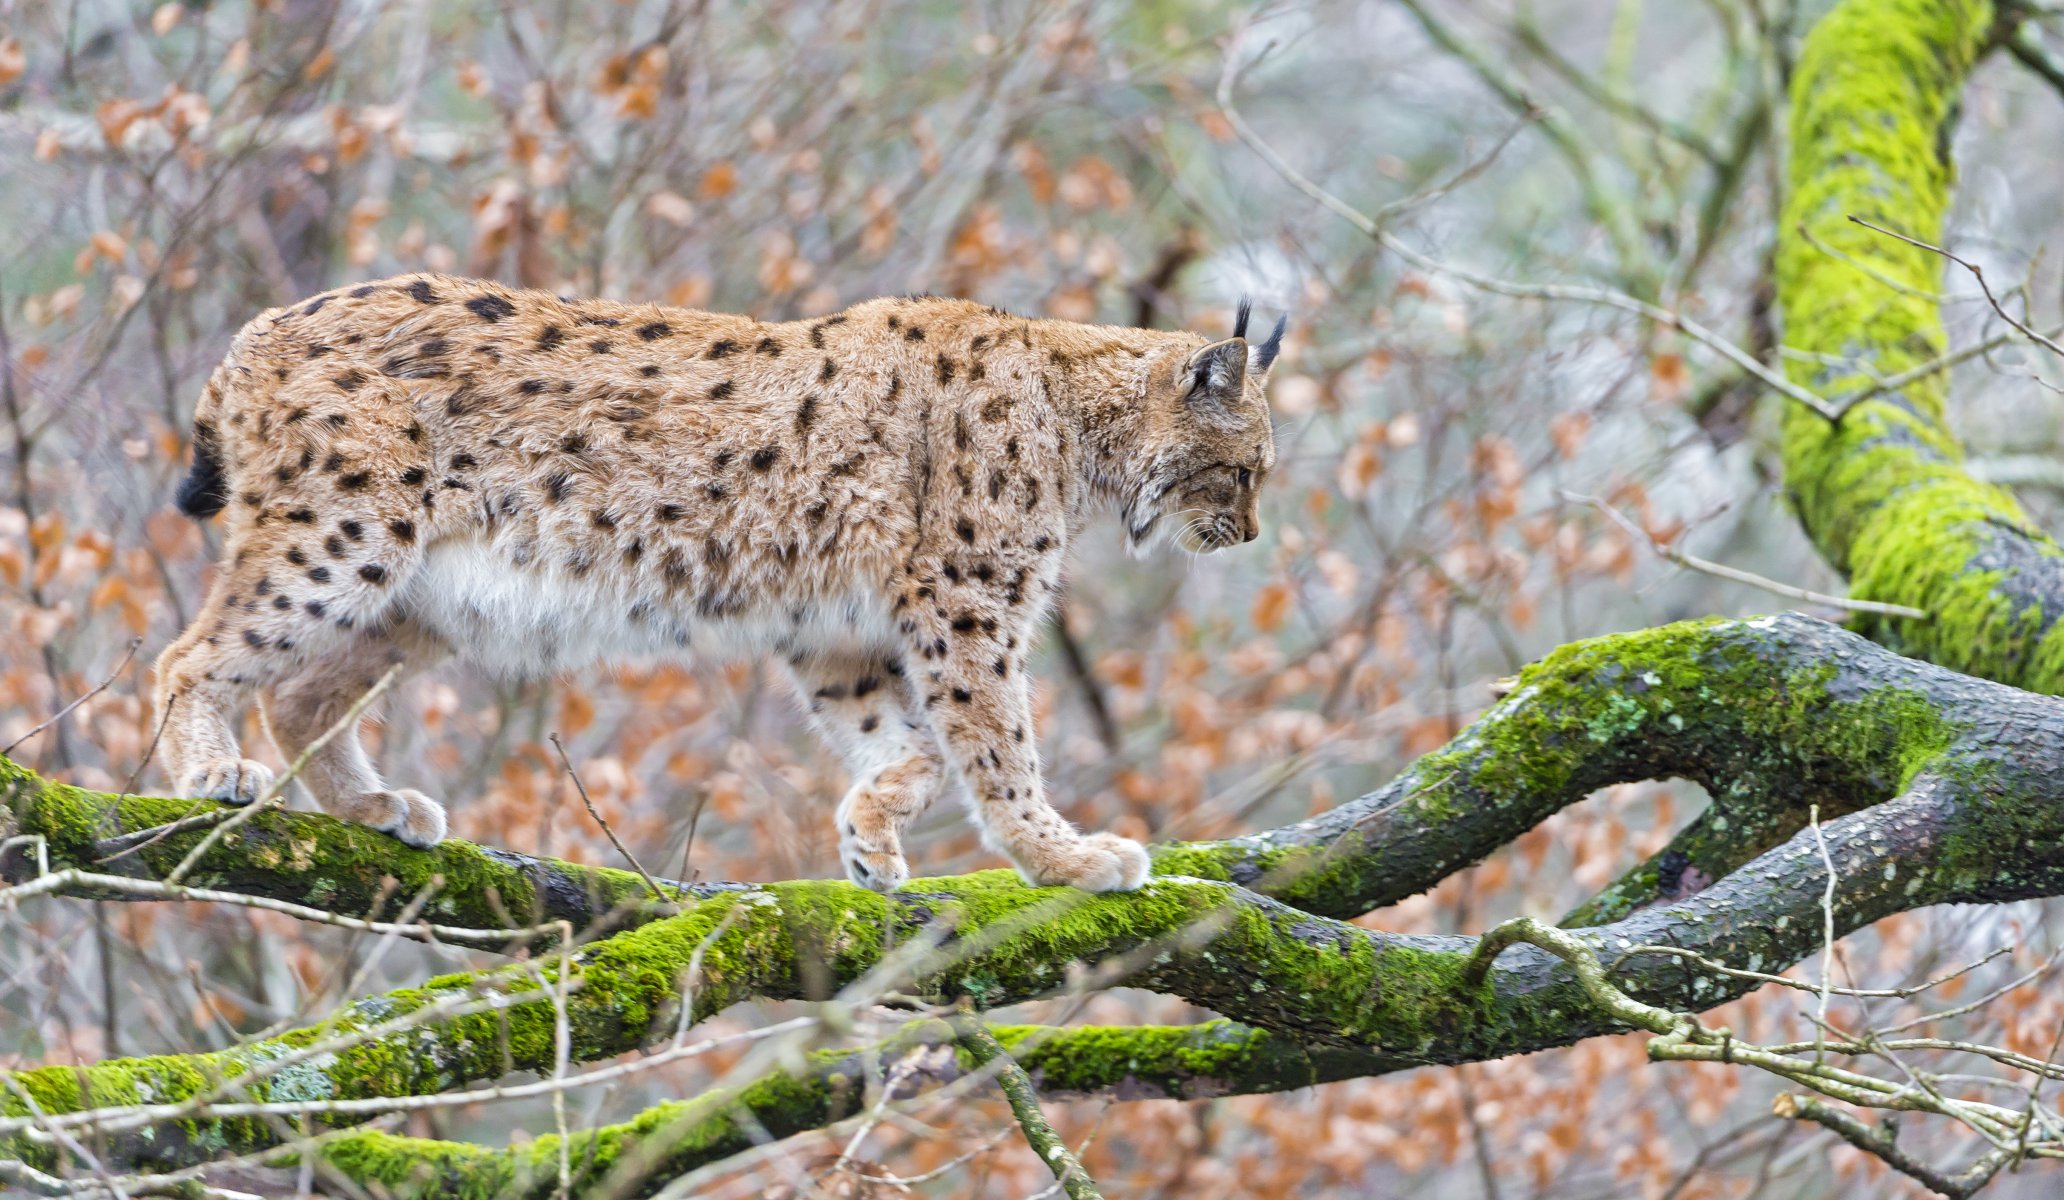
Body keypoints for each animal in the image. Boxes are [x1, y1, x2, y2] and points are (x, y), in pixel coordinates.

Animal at [152, 273, 1283, 892]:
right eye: (1247, 469)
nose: (1249, 536)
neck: (1077, 413)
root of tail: (260, 324)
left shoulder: (840, 632)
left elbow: (913, 746)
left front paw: (872, 833)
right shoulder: (968, 598)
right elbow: (998, 746)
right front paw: (1064, 861)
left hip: (420, 595)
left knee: (300, 692)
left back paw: (372, 805)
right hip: (347, 533)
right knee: (187, 655)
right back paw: (210, 769)